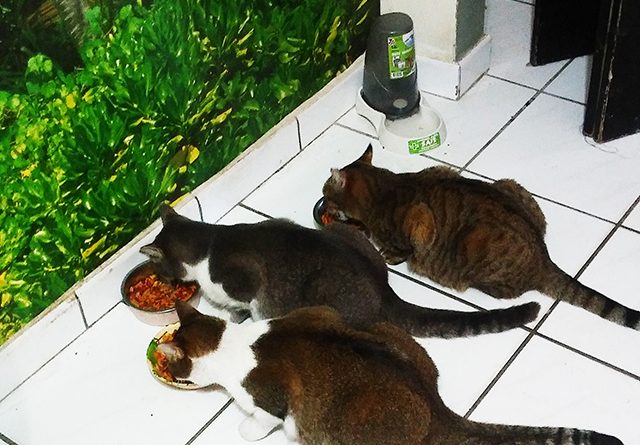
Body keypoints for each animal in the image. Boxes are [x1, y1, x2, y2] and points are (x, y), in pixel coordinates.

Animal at [139, 204, 540, 338]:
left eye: (158, 264)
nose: (162, 279)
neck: (208, 242)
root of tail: (385, 292)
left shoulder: (242, 278)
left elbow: (246, 303)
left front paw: (241, 319)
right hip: (346, 232)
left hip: (321, 290)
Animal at [158, 300, 623, 445]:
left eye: (176, 367)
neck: (233, 343)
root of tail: (436, 406)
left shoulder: (270, 398)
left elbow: (261, 418)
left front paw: (245, 429)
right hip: (386, 331)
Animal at [322, 144, 640, 331]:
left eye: (326, 192)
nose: (322, 204)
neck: (382, 188)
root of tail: (543, 256)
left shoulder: (420, 222)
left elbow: (405, 248)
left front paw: (390, 252)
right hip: (509, 185)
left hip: (474, 241)